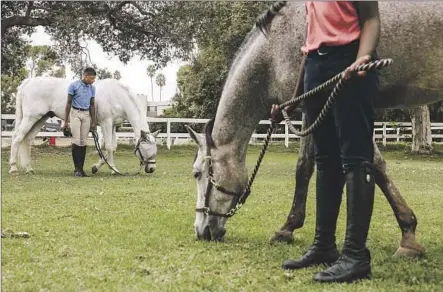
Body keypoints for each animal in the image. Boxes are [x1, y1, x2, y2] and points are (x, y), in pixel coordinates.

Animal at [8, 76, 160, 175]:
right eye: (146, 149)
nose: (151, 169)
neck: (117, 96)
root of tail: (28, 82)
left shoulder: (112, 125)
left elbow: (113, 147)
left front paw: (98, 167)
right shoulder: (106, 123)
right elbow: (109, 147)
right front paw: (112, 169)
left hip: (40, 118)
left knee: (27, 140)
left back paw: (28, 168)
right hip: (30, 117)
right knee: (17, 138)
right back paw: (13, 167)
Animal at [186, 2, 443, 258]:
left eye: (197, 173)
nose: (200, 230)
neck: (274, 53)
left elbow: (364, 166)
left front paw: (408, 236)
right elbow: (306, 165)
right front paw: (289, 228)